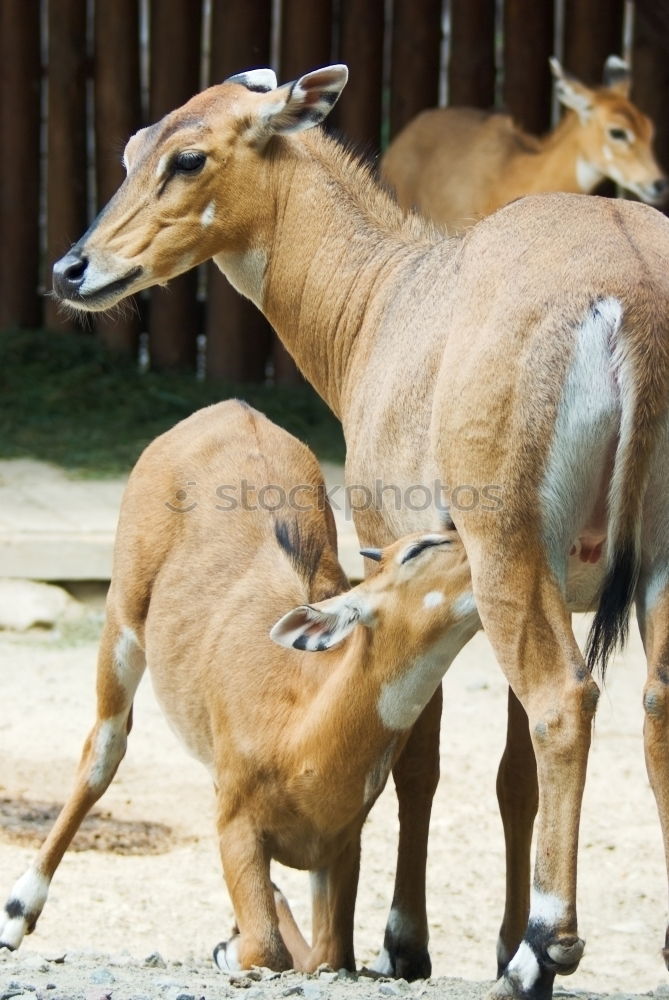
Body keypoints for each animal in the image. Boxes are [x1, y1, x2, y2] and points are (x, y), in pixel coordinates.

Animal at [1, 400, 480, 976]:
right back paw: (16, 915)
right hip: (121, 620)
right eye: (416, 550)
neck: (302, 734)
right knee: (102, 750)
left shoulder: (341, 845)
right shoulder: (236, 825)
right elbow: (269, 950)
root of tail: (233, 407)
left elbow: (330, 956)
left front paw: (248, 924)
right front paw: (230, 946)